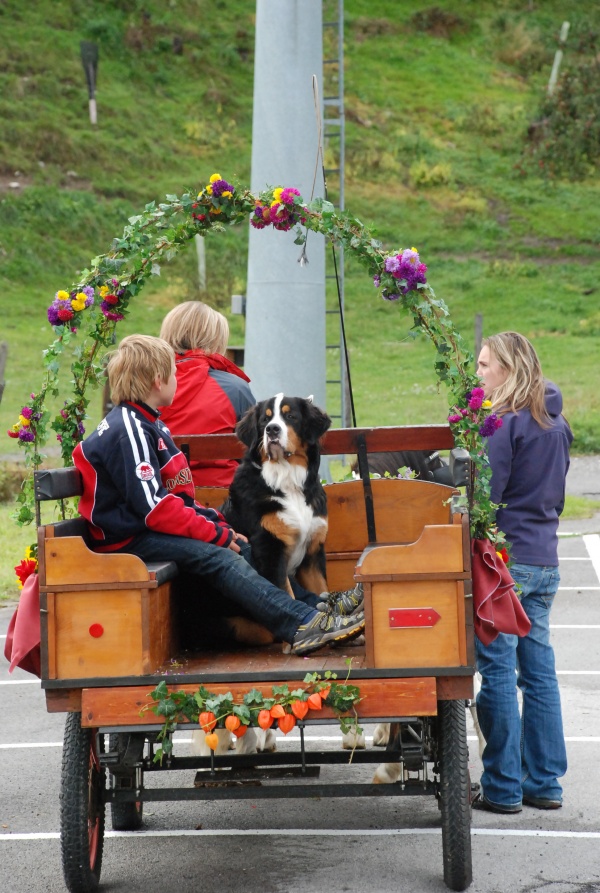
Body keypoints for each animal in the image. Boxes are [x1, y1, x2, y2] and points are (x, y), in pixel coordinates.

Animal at [221, 392, 330, 600]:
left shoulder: (312, 553)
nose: (272, 429)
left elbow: (322, 590)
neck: (287, 480)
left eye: (291, 416)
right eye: (265, 419)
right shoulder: (269, 549)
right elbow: (285, 593)